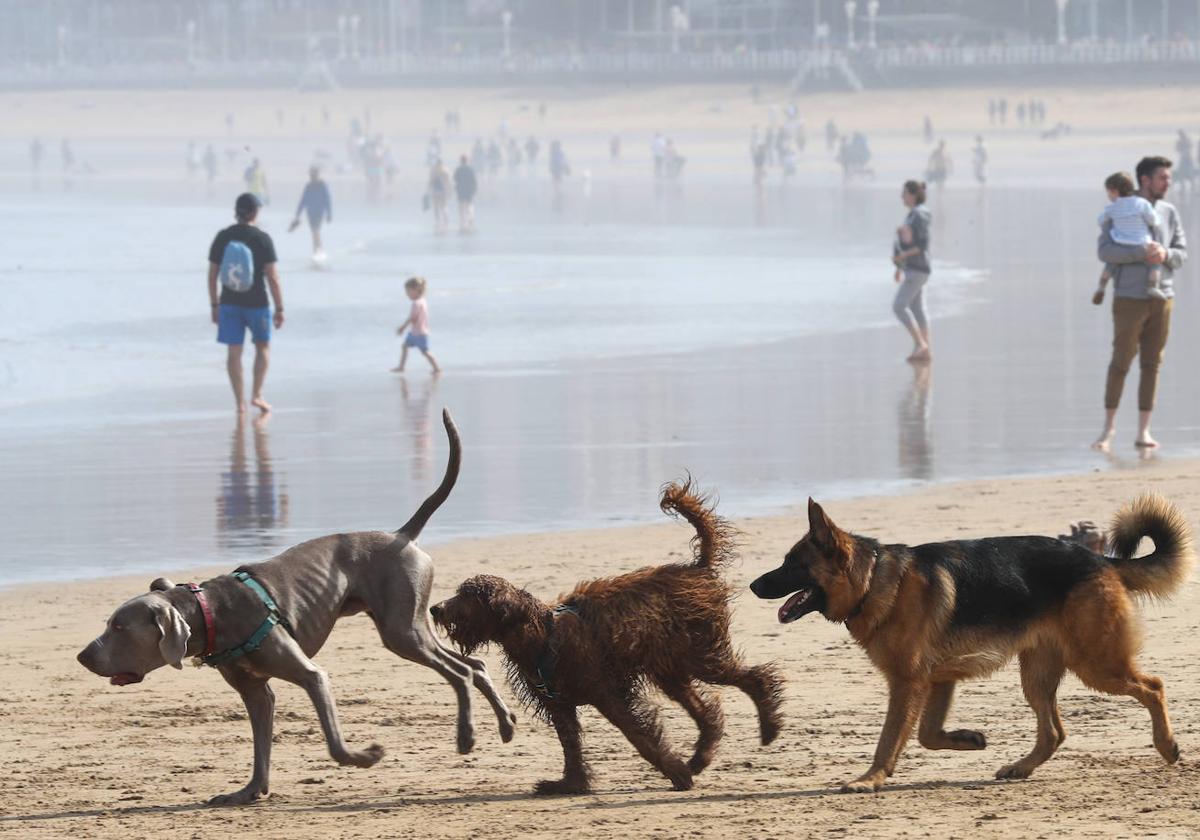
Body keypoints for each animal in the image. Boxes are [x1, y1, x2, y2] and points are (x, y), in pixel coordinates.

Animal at [75, 410, 516, 801]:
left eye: (118, 627)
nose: (82, 656)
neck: (211, 612)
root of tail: (401, 535)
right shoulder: (255, 692)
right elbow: (261, 746)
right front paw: (250, 791)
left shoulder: (311, 676)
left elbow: (334, 742)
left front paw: (367, 756)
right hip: (407, 624)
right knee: (475, 665)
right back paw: (506, 725)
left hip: (401, 629)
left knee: (460, 672)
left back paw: (466, 736)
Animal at [434, 482, 787, 796]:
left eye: (468, 596)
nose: (436, 609)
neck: (543, 635)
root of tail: (696, 569)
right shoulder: (559, 705)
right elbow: (570, 744)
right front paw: (570, 783)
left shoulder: (608, 694)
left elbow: (639, 736)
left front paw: (675, 773)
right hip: (671, 669)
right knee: (707, 712)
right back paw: (700, 757)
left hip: (700, 654)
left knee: (755, 677)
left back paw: (768, 726)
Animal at [748, 494, 1190, 792]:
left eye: (792, 564)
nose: (752, 585)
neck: (872, 580)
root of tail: (1100, 561)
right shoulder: (938, 680)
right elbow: (926, 735)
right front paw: (967, 739)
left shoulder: (908, 684)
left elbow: (889, 738)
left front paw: (870, 779)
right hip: (1039, 675)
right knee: (1054, 732)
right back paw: (1021, 767)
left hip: (1096, 664)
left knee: (1154, 687)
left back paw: (1166, 745)